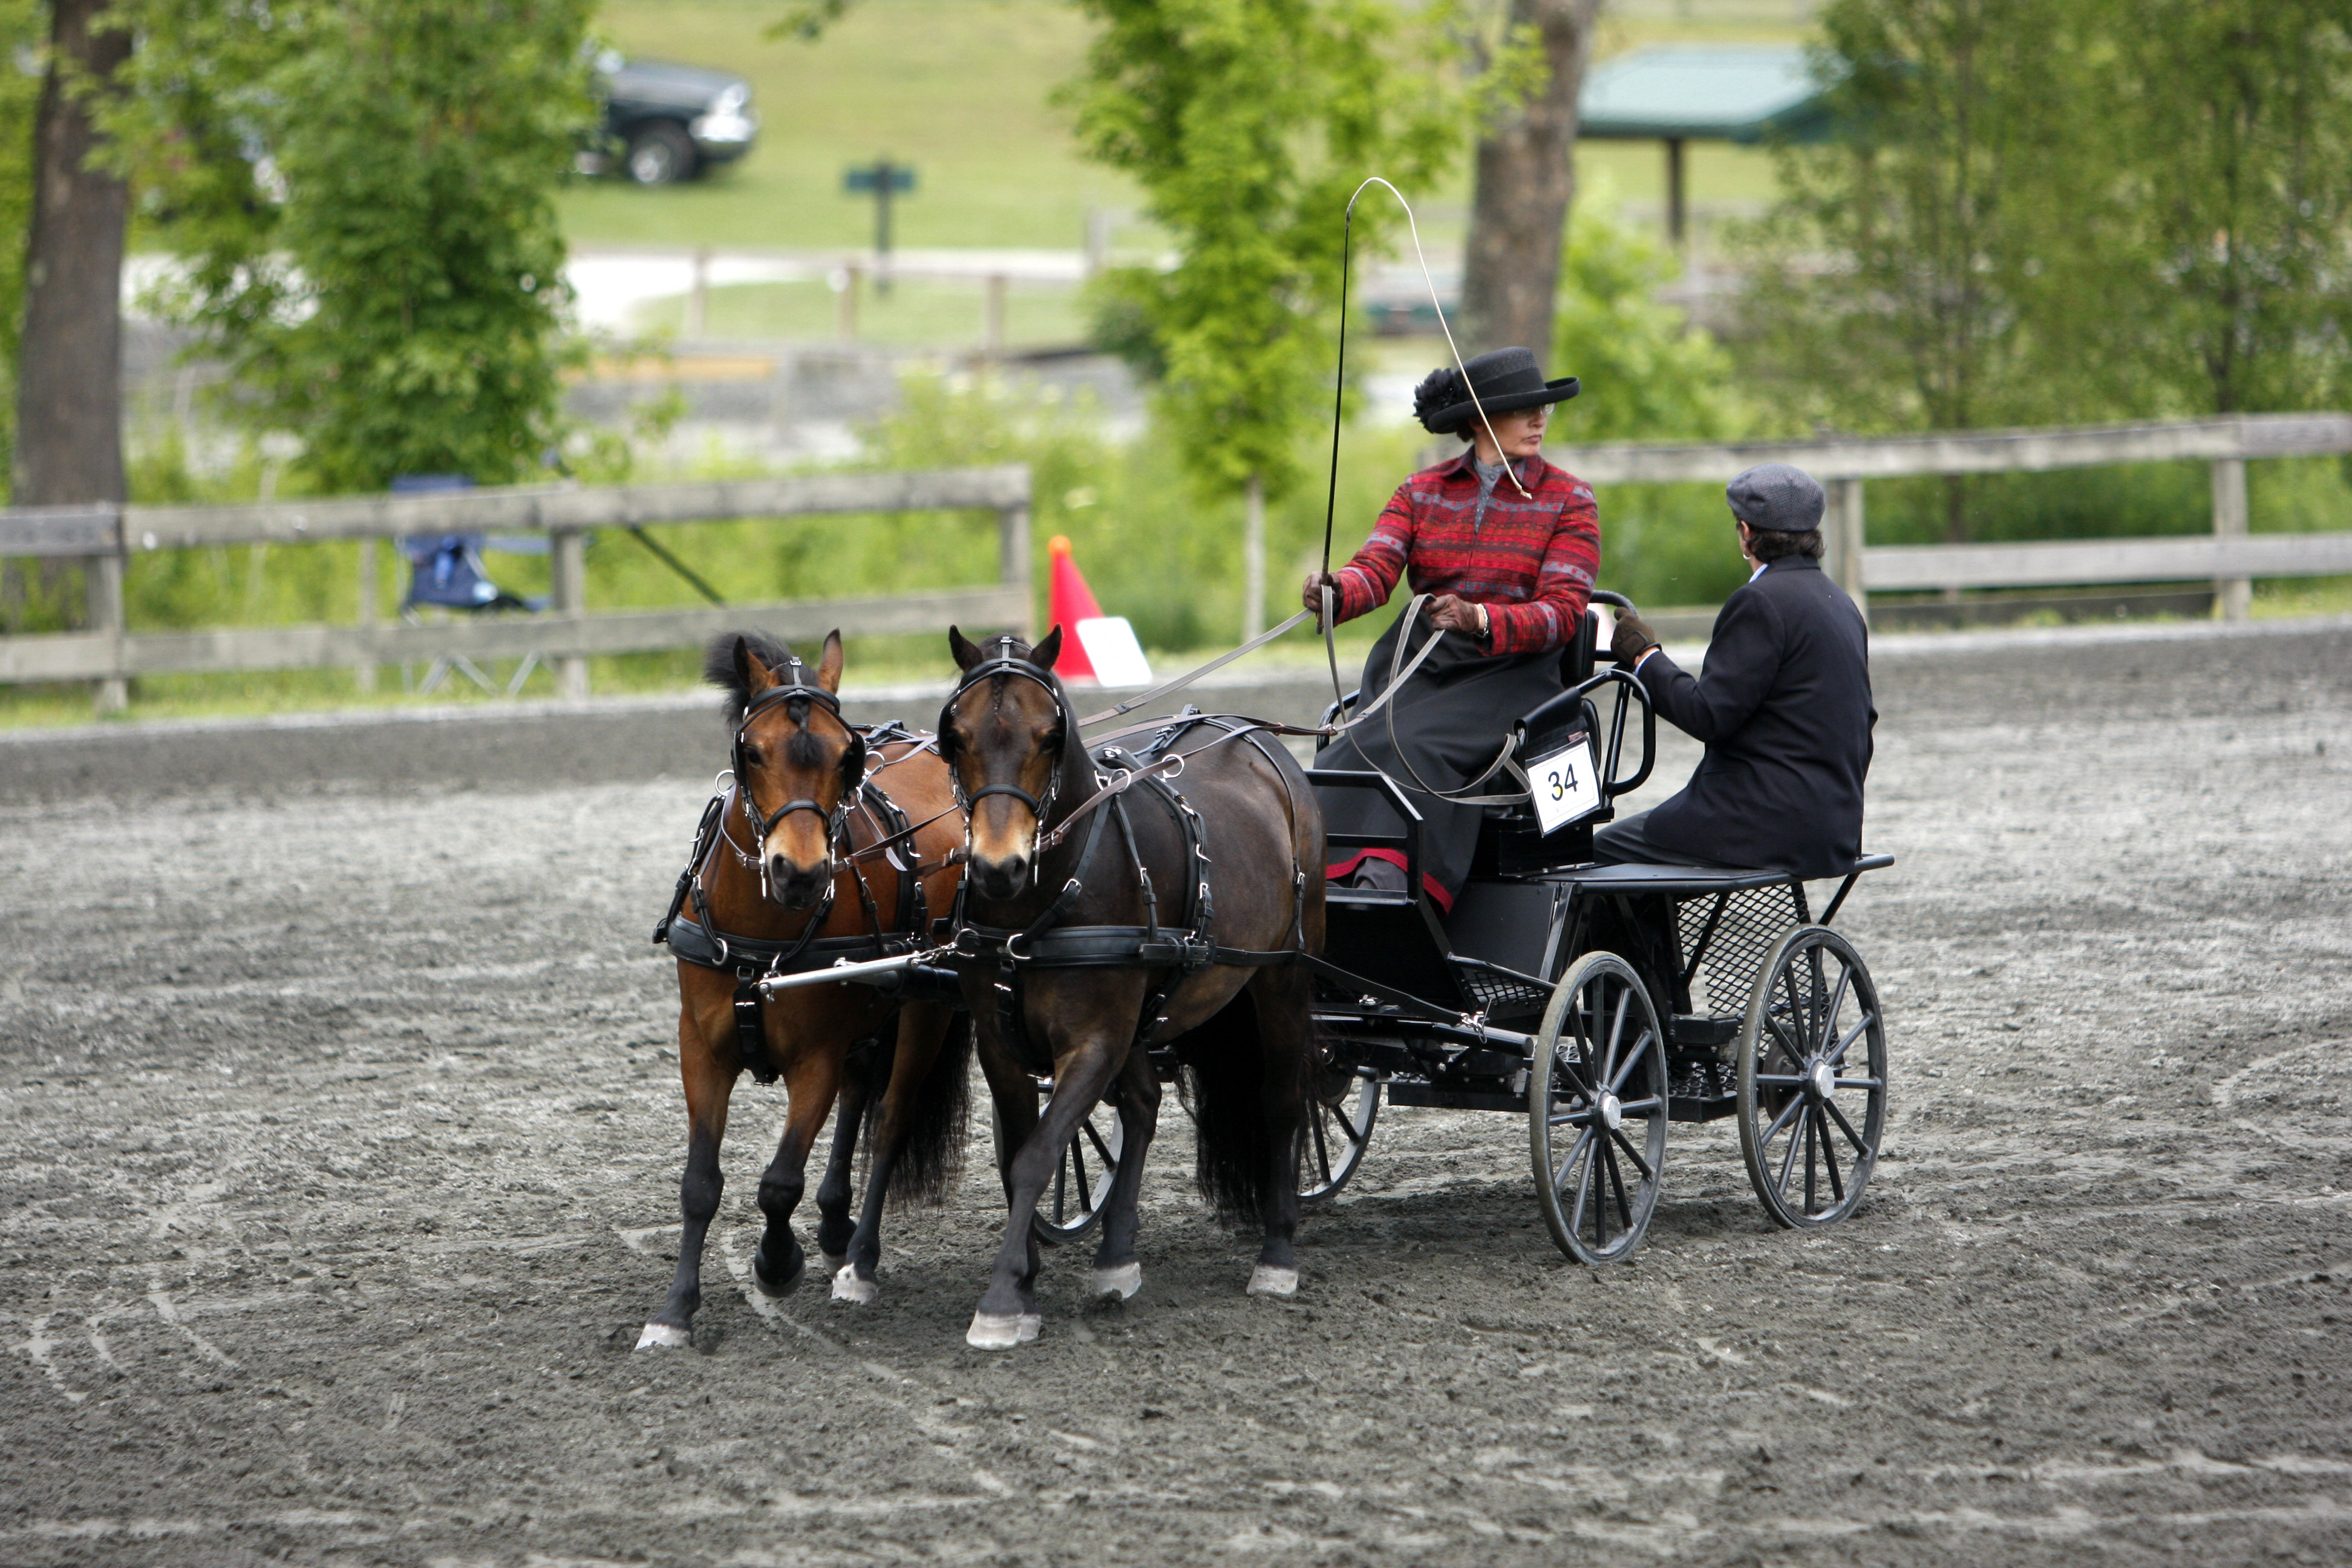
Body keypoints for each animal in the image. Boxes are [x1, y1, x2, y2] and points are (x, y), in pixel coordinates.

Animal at [635, 630, 964, 1354]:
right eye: (752, 752)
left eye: (847, 758)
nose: (800, 873)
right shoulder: (702, 1050)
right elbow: (700, 1184)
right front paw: (674, 1312)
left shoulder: (814, 1057)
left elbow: (779, 1183)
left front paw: (777, 1262)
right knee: (860, 1093)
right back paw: (838, 1224)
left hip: (925, 1009)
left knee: (888, 1120)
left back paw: (860, 1260)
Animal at [936, 625, 1326, 1354]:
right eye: (957, 736)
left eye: (1048, 736)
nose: (1000, 868)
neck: (1035, 909)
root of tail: (1256, 741)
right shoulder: (1000, 1042)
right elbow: (1021, 1155)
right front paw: (1026, 1279)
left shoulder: (1094, 1040)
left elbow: (1038, 1156)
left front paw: (1002, 1299)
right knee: (1144, 1104)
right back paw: (1117, 1257)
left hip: (1283, 972)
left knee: (1284, 1102)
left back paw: (1278, 1253)